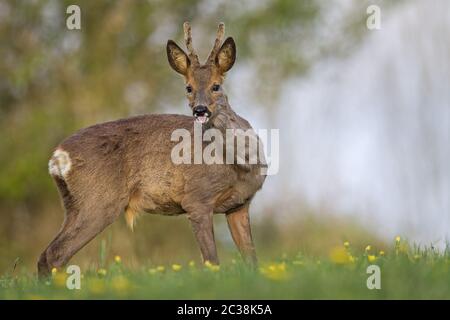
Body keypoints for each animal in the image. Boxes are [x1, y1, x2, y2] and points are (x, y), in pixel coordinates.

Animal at [38, 22, 266, 278]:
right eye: (188, 87)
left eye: (216, 86)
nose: (199, 110)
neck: (239, 165)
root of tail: (58, 157)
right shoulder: (197, 199)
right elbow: (211, 260)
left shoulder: (240, 205)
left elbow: (252, 259)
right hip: (97, 201)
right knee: (54, 254)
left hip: (74, 205)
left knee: (48, 254)